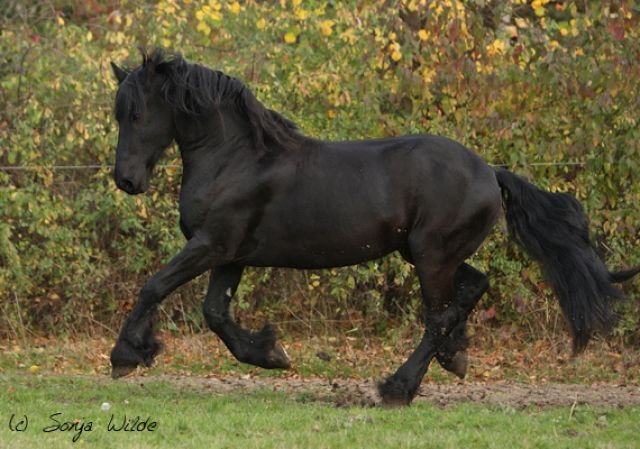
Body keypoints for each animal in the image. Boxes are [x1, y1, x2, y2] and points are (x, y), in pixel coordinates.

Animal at [109, 49, 639, 406]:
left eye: (136, 113)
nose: (126, 180)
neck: (238, 158)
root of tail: (490, 172)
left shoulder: (211, 245)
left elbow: (155, 285)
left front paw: (125, 355)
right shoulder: (230, 254)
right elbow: (215, 313)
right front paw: (271, 353)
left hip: (432, 256)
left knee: (439, 315)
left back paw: (397, 387)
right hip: (428, 253)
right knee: (473, 288)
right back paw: (455, 358)